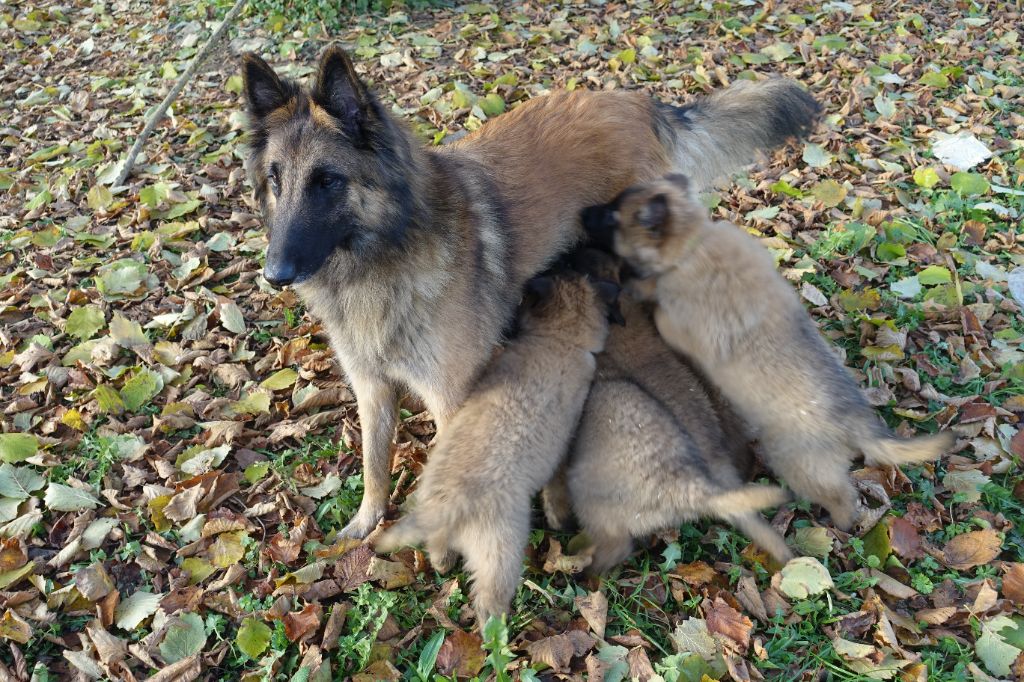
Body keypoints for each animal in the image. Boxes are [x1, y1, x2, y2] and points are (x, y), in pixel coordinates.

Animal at [378, 270, 610, 622]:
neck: (557, 337)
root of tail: (452, 502)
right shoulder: (564, 445)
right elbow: (556, 489)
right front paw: (560, 519)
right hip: (501, 554)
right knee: (489, 597)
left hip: (435, 519)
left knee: (439, 550)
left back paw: (443, 565)